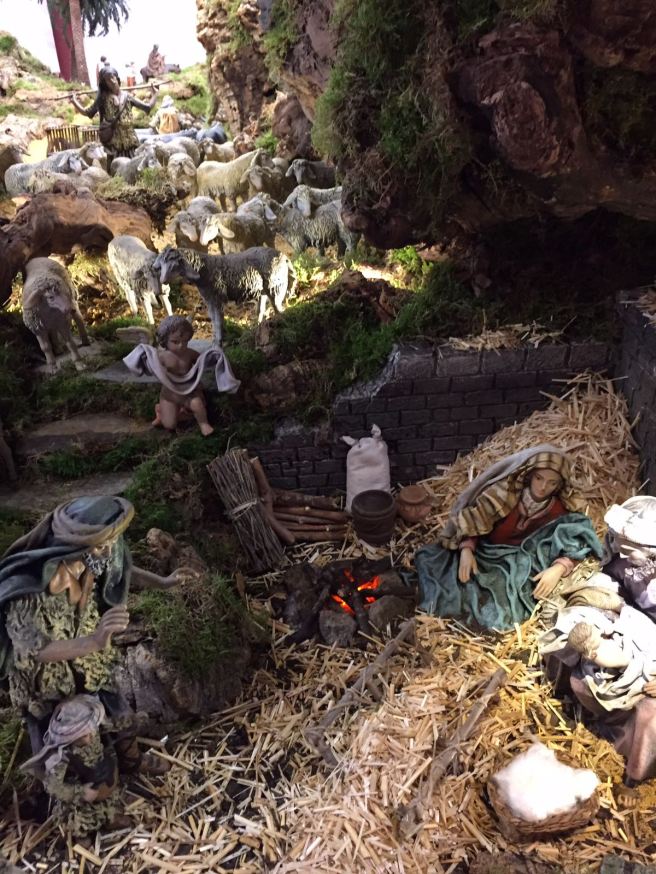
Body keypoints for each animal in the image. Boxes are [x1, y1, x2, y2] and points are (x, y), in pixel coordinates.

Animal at [153, 245, 296, 346]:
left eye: (174, 266)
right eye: (161, 265)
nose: (163, 281)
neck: (204, 269)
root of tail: (284, 257)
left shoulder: (217, 298)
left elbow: (218, 321)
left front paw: (219, 344)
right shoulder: (210, 300)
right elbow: (214, 320)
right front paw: (215, 341)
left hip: (276, 287)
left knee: (280, 310)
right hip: (263, 291)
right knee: (261, 311)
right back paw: (256, 331)